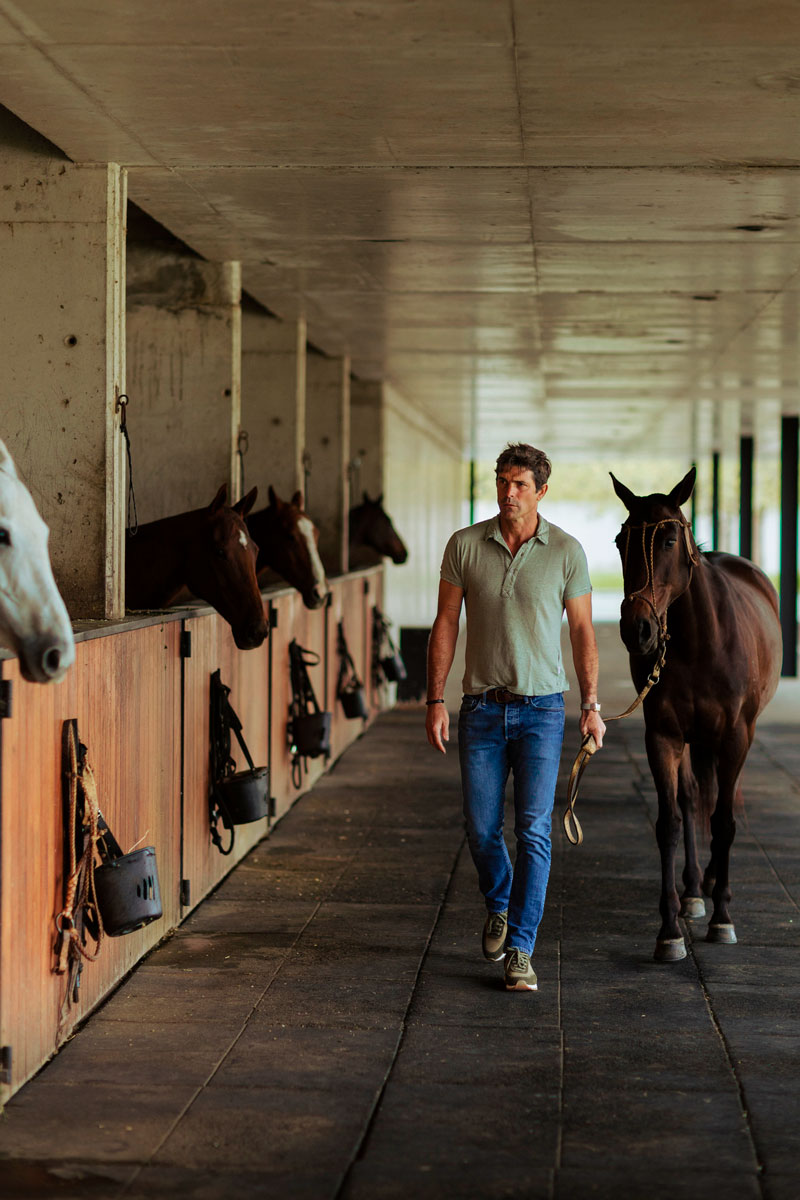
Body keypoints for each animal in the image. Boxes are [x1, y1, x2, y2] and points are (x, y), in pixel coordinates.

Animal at [614, 468, 782, 964]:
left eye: (670, 539)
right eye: (620, 541)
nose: (637, 630)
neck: (701, 644)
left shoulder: (735, 738)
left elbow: (724, 822)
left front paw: (723, 919)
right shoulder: (663, 736)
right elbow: (670, 821)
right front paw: (669, 929)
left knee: (720, 805)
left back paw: (710, 886)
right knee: (692, 799)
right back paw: (692, 891)